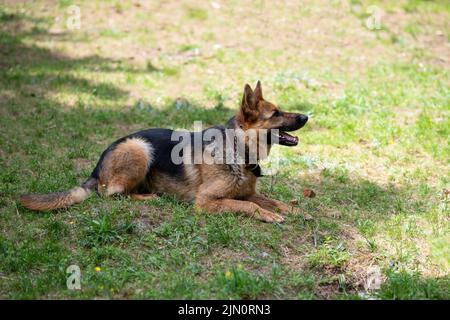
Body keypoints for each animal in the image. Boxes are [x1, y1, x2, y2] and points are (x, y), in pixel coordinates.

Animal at [19, 82, 308, 222]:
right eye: (276, 113)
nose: (307, 116)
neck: (238, 149)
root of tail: (98, 166)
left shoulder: (247, 192)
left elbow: (271, 200)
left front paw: (294, 211)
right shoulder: (206, 201)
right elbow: (249, 205)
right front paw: (269, 216)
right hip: (139, 148)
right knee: (111, 194)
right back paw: (150, 197)